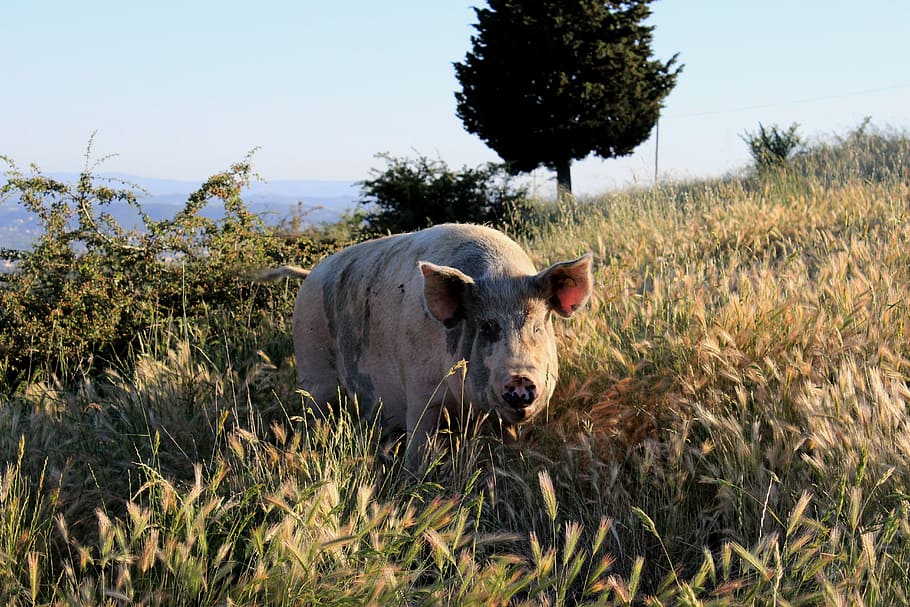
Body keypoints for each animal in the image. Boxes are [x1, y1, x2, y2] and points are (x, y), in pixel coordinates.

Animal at [282, 223, 592, 463]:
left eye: (538, 327)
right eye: (486, 327)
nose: (520, 379)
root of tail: (310, 274)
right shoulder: (422, 393)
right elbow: (420, 442)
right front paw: (413, 475)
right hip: (313, 369)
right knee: (315, 413)